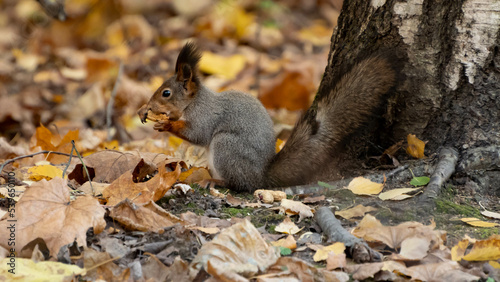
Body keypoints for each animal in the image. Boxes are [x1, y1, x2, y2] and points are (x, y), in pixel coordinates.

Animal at [137, 42, 394, 192]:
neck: (195, 101)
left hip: (226, 147)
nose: (149, 106)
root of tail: (261, 177)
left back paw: (215, 181)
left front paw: (165, 124)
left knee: (241, 184)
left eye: (166, 93)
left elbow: (196, 134)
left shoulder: (206, 116)